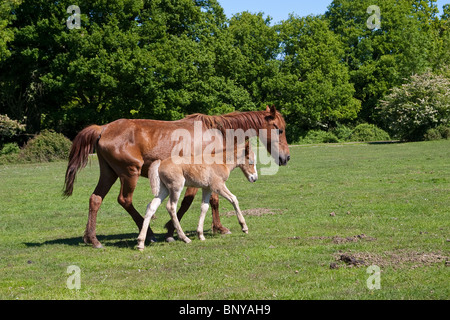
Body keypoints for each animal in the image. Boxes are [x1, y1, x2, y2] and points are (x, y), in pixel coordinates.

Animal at [63, 105, 290, 248]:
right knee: (125, 200)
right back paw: (149, 234)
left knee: (95, 199)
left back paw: (92, 239)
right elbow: (187, 203)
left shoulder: (207, 179)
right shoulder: (197, 179)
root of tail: (103, 128)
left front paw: (218, 227)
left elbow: (212, 201)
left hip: (109, 173)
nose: (286, 157)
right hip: (130, 173)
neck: (215, 133)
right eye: (279, 130)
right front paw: (171, 231)